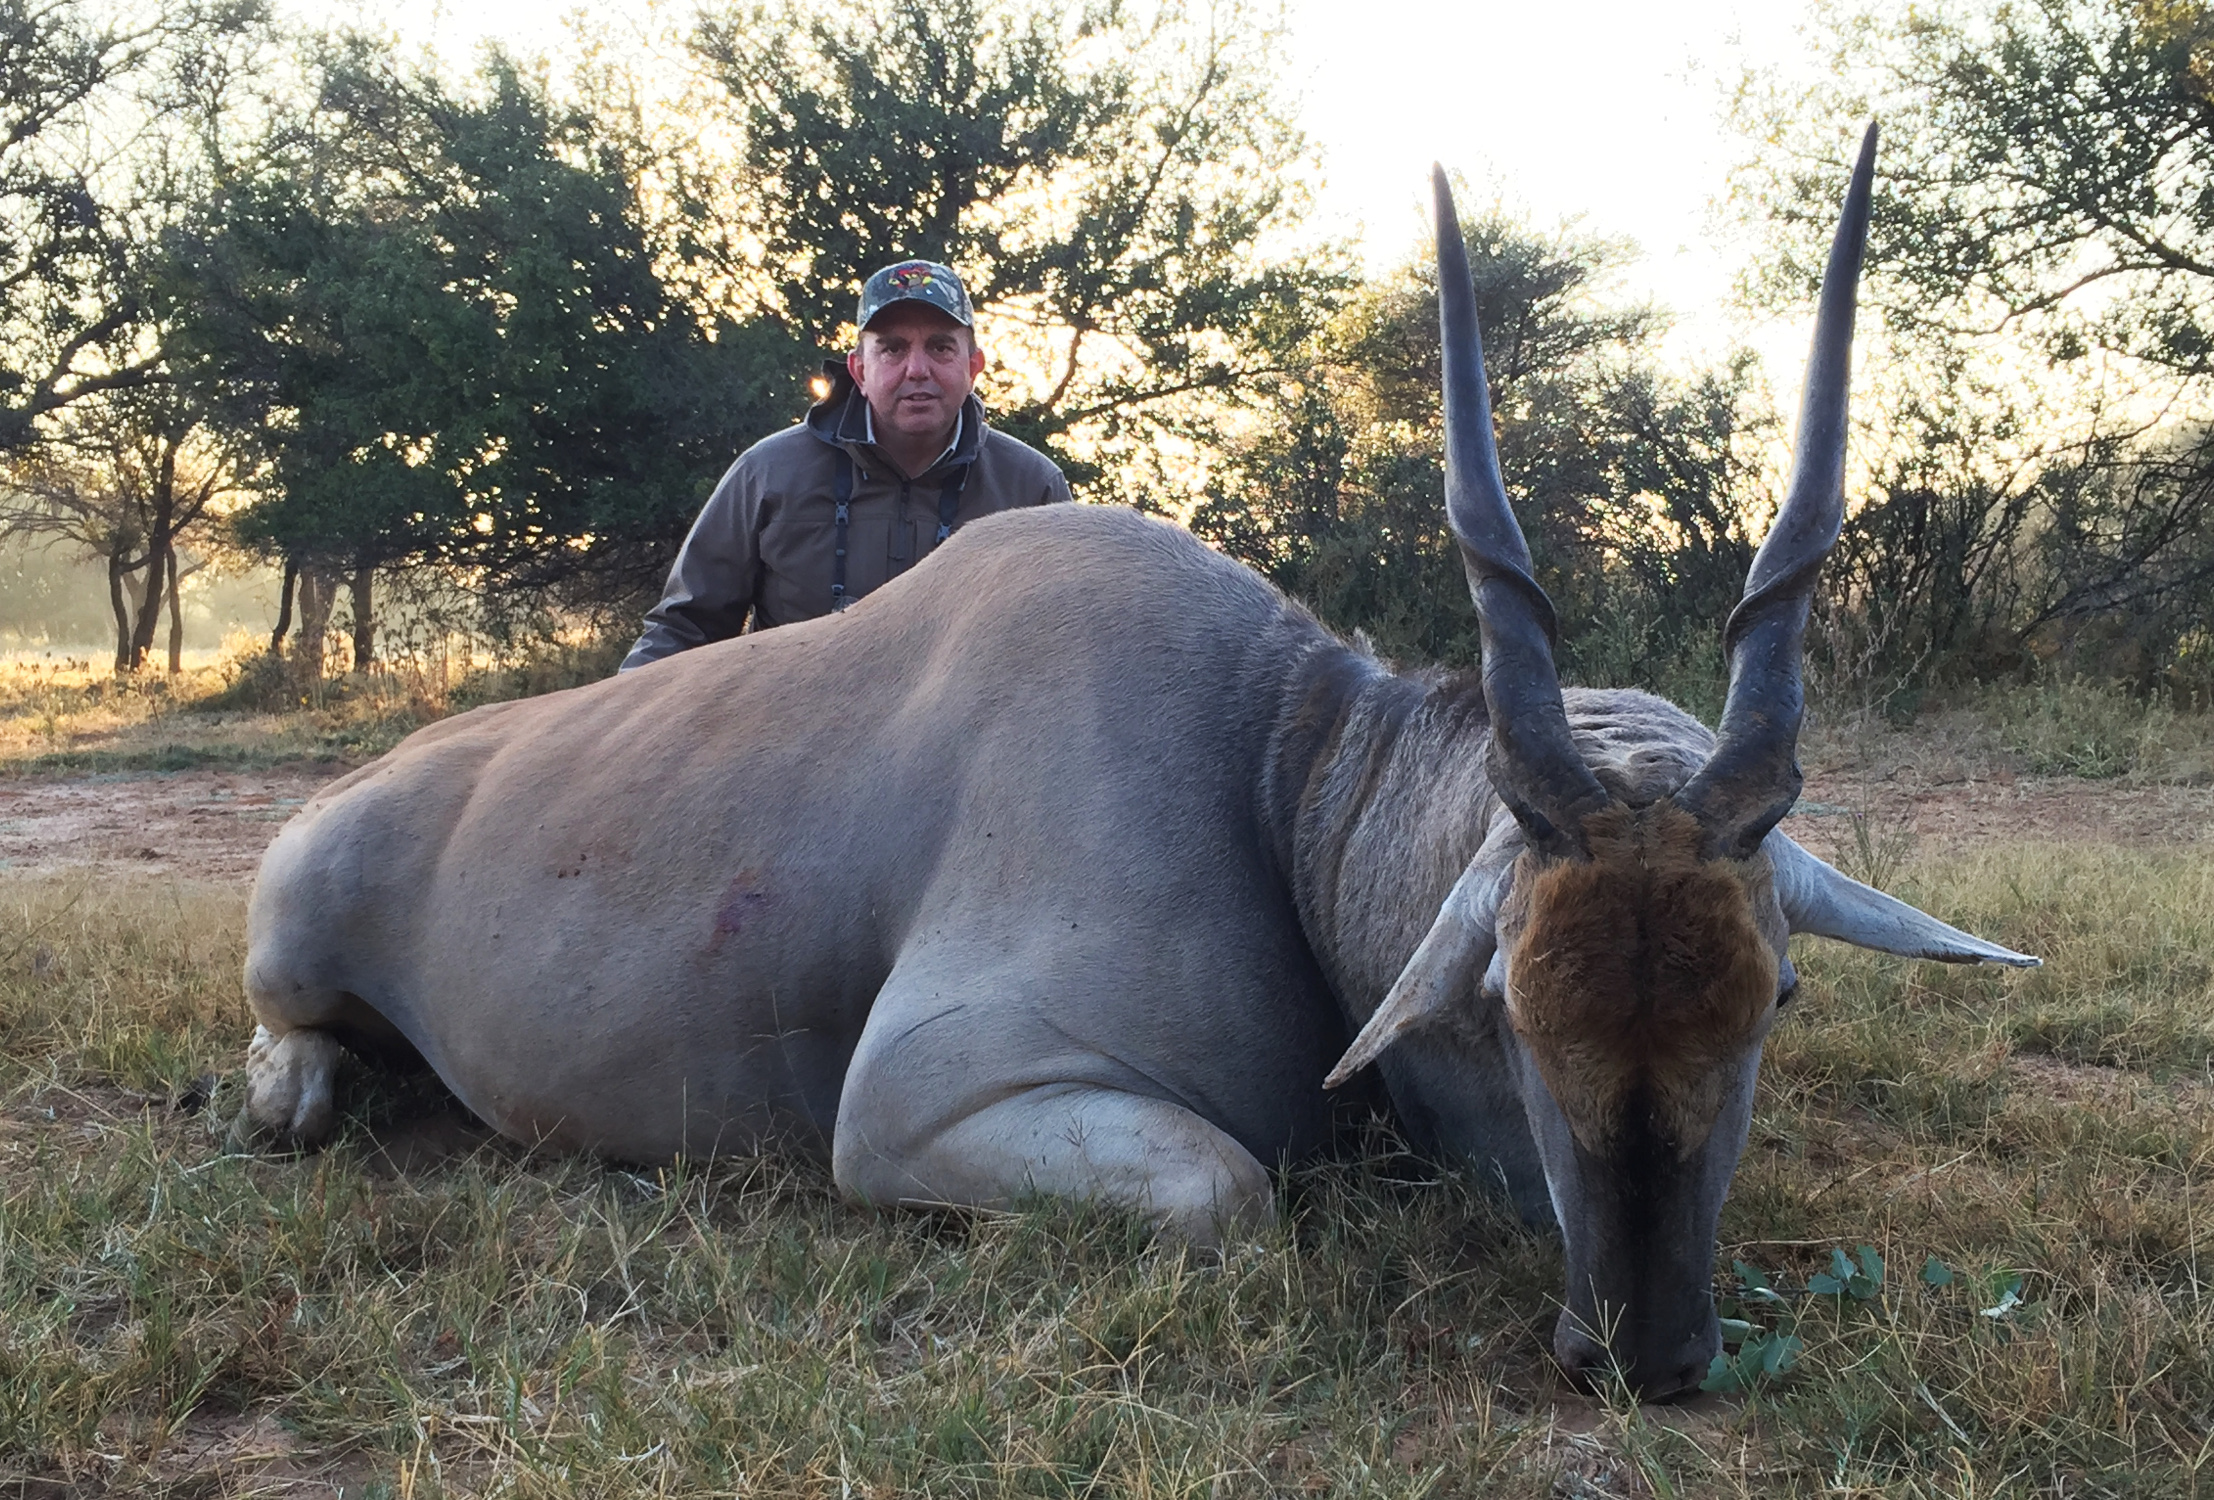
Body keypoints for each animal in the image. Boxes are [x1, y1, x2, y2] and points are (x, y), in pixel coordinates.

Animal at [240, 124, 2034, 1398]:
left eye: (1771, 995)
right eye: (1511, 1004)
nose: (1648, 1357)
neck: (1275, 773)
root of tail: (362, 790)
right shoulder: (925, 1106)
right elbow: (1230, 1196)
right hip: (293, 951)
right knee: (293, 1046)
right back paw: (297, 1095)